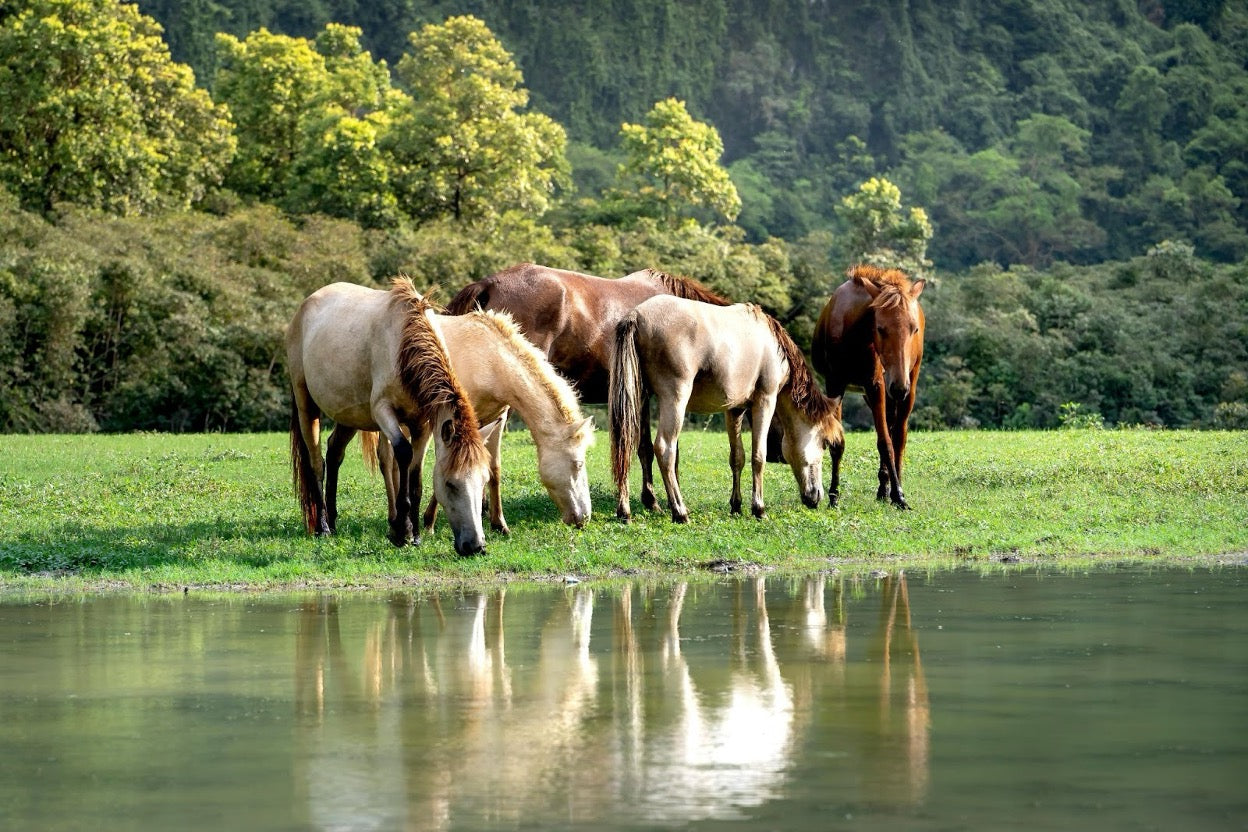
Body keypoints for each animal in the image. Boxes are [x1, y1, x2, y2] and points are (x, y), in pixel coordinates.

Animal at [287, 278, 490, 555]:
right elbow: (403, 453)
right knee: (317, 462)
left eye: (484, 481)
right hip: (306, 403)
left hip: (349, 414)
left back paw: (334, 520)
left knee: (334, 451)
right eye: (451, 484)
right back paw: (323, 527)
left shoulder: (423, 424)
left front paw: (415, 535)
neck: (405, 345)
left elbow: (415, 476)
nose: (475, 545)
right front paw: (401, 532)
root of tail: (303, 307)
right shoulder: (383, 412)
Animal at [360, 307, 595, 535]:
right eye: (578, 464)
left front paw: (499, 523)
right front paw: (429, 521)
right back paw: (395, 519)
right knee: (387, 460)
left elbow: (493, 468)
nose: (584, 518)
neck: (489, 360)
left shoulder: (496, 419)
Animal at [609, 296, 843, 523]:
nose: (817, 496)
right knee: (665, 449)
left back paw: (625, 512)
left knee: (626, 446)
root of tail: (636, 315)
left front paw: (736, 506)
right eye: (824, 443)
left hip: (638, 400)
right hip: (675, 399)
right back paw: (680, 512)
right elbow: (759, 456)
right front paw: (758, 508)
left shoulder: (734, 410)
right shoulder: (765, 401)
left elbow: (737, 457)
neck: (773, 346)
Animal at [811, 264, 926, 509]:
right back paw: (883, 488)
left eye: (914, 329)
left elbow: (886, 443)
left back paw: (893, 487)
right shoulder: (835, 384)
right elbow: (837, 442)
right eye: (880, 328)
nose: (899, 386)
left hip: (906, 387)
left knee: (898, 436)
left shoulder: (876, 385)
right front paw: (834, 496)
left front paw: (899, 496)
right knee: (891, 428)